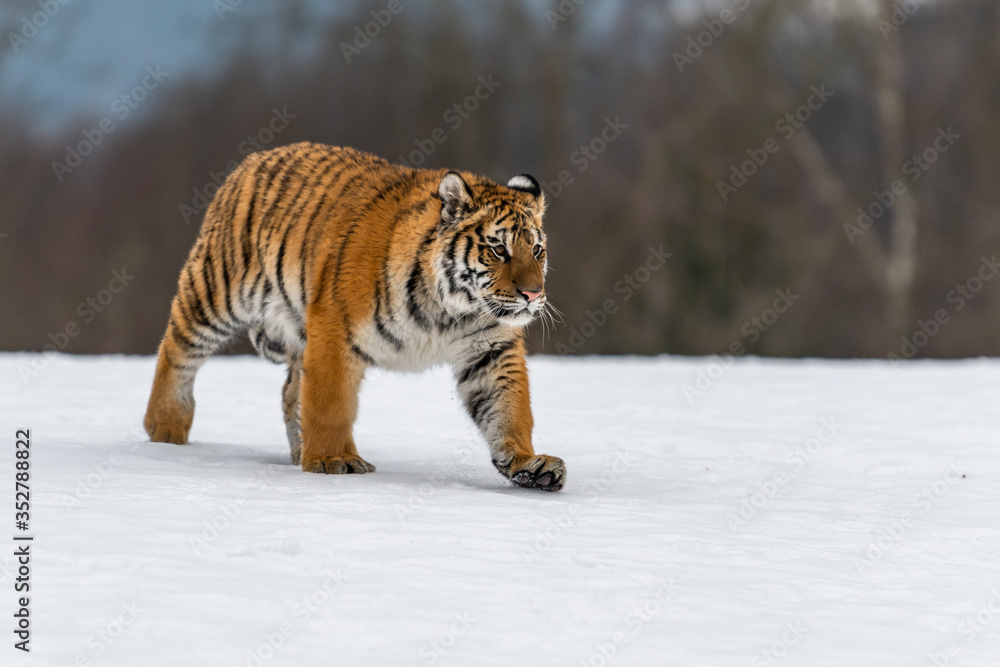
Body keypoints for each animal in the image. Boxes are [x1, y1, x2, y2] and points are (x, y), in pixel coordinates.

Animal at [144, 142, 565, 491]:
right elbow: (330, 403)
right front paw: (334, 460)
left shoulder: (490, 349)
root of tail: (255, 158)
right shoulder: (334, 330)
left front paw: (528, 462)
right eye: (498, 249)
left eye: (537, 250)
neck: (452, 309)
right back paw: (165, 429)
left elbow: (509, 407)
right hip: (217, 291)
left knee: (289, 391)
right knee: (176, 347)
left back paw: (297, 452)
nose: (533, 294)